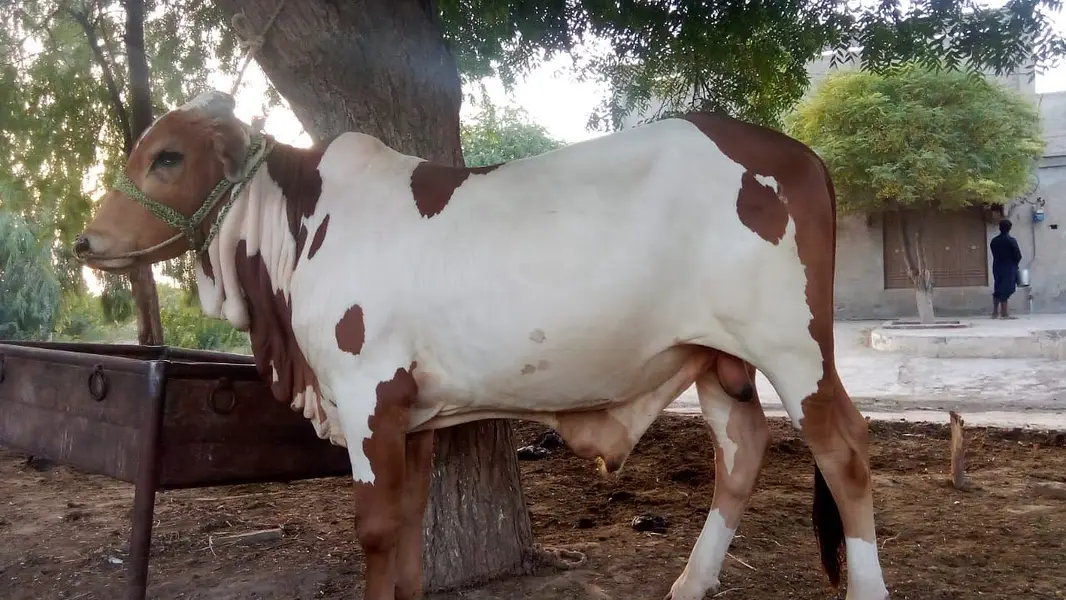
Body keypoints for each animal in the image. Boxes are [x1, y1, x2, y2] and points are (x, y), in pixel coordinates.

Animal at [74, 90, 890, 600]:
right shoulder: (413, 413)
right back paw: (691, 582)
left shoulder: (366, 394)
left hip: (793, 347)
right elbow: (409, 528)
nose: (87, 240)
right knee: (742, 449)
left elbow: (376, 530)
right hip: (719, 358)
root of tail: (799, 152)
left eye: (168, 157)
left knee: (845, 449)